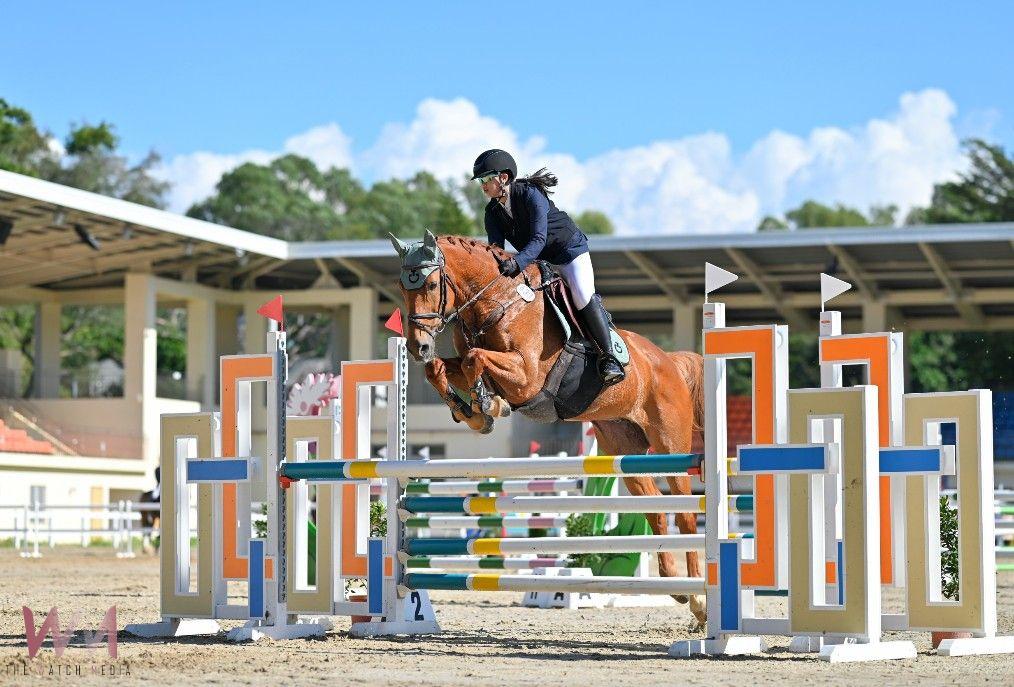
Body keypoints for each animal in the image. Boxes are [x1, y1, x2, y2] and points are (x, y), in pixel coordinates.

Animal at [390, 231, 707, 626]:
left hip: (670, 446)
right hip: (625, 450)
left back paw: (700, 601)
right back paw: (677, 587)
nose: (418, 346)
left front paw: (487, 405)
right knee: (657, 512)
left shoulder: (527, 377)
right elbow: (443, 368)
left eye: (432, 284)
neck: (498, 302)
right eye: (402, 286)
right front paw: (473, 411)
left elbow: (474, 359)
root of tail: (671, 361)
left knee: (686, 515)